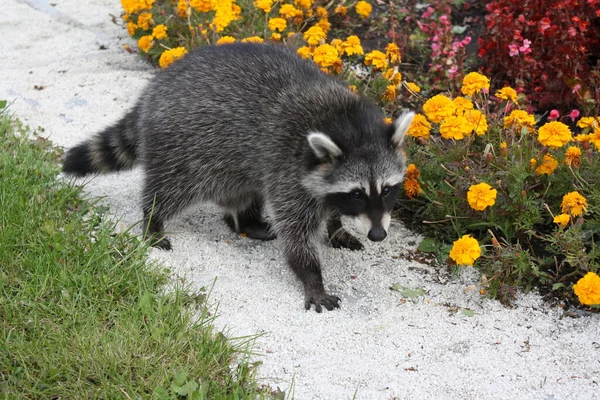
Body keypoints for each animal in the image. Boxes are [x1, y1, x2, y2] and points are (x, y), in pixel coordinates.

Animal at [63, 43, 414, 312]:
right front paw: (312, 278)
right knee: (174, 186)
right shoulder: (290, 170)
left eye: (387, 190)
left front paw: (336, 225)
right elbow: (296, 235)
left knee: (244, 188)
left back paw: (244, 221)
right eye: (356, 193)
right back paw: (154, 218)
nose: (378, 235)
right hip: (185, 145)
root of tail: (154, 89)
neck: (348, 123)